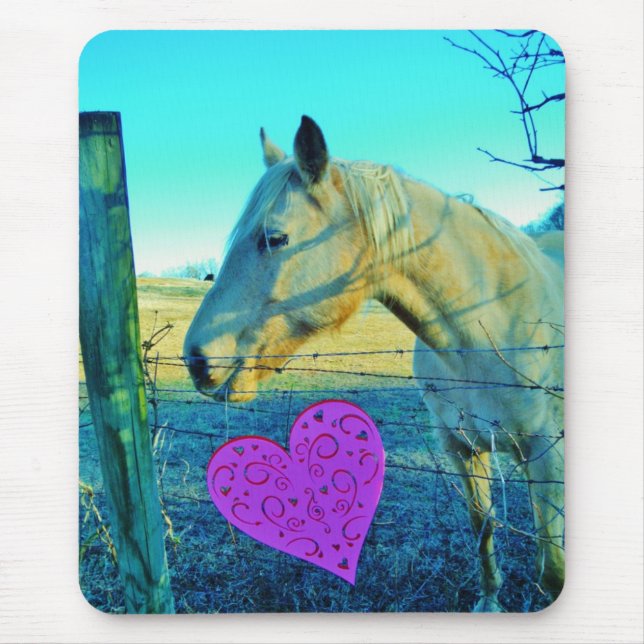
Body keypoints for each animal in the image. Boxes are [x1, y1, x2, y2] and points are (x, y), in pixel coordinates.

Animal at [184, 116, 564, 611]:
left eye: (276, 237)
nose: (195, 359)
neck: (485, 333)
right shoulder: (461, 448)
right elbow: (482, 529)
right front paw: (490, 600)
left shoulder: (545, 454)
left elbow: (552, 570)